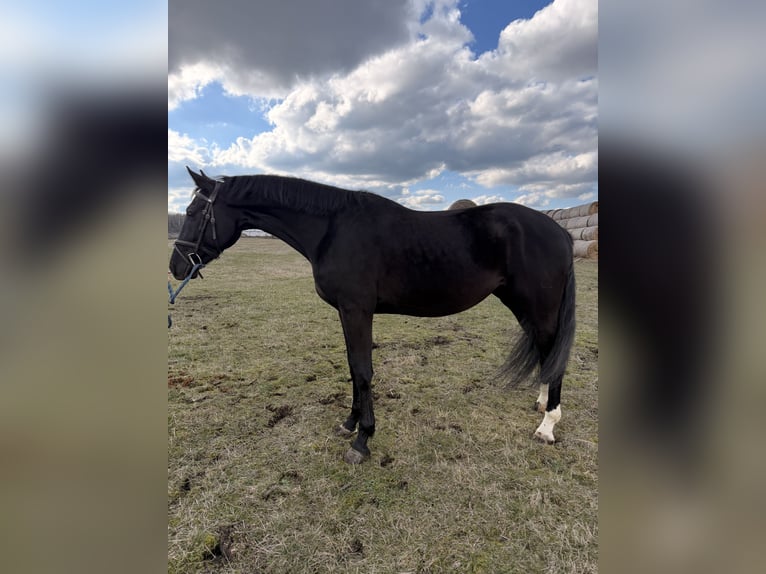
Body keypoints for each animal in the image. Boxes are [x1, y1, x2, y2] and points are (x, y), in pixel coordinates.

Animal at [169, 168, 575, 464]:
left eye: (191, 213)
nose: (176, 266)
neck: (333, 229)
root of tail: (560, 231)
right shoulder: (346, 313)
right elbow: (353, 367)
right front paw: (349, 424)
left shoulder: (357, 310)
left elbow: (363, 371)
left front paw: (363, 439)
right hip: (522, 306)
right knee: (546, 351)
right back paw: (542, 404)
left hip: (538, 307)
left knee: (553, 351)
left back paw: (547, 425)